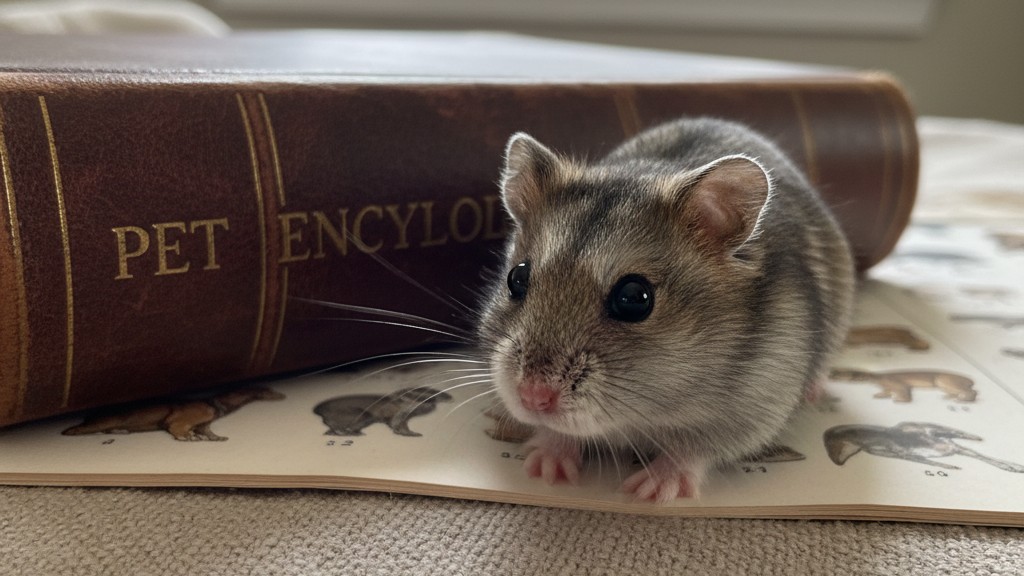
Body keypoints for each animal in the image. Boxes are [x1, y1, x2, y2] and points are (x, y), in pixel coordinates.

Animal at [477, 117, 855, 502]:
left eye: (634, 298)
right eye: (516, 277)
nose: (532, 397)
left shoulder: (755, 407)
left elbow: (692, 449)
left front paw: (649, 490)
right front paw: (544, 467)